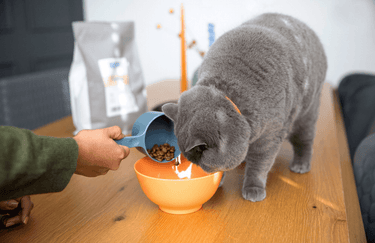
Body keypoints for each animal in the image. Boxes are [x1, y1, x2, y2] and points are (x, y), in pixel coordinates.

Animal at [163, 13, 328, 203]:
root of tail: (301, 24)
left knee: (305, 141)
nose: (204, 172)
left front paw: (253, 188)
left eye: (202, 162)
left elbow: (259, 165)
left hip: (307, 113)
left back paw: (301, 164)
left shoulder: (270, 136)